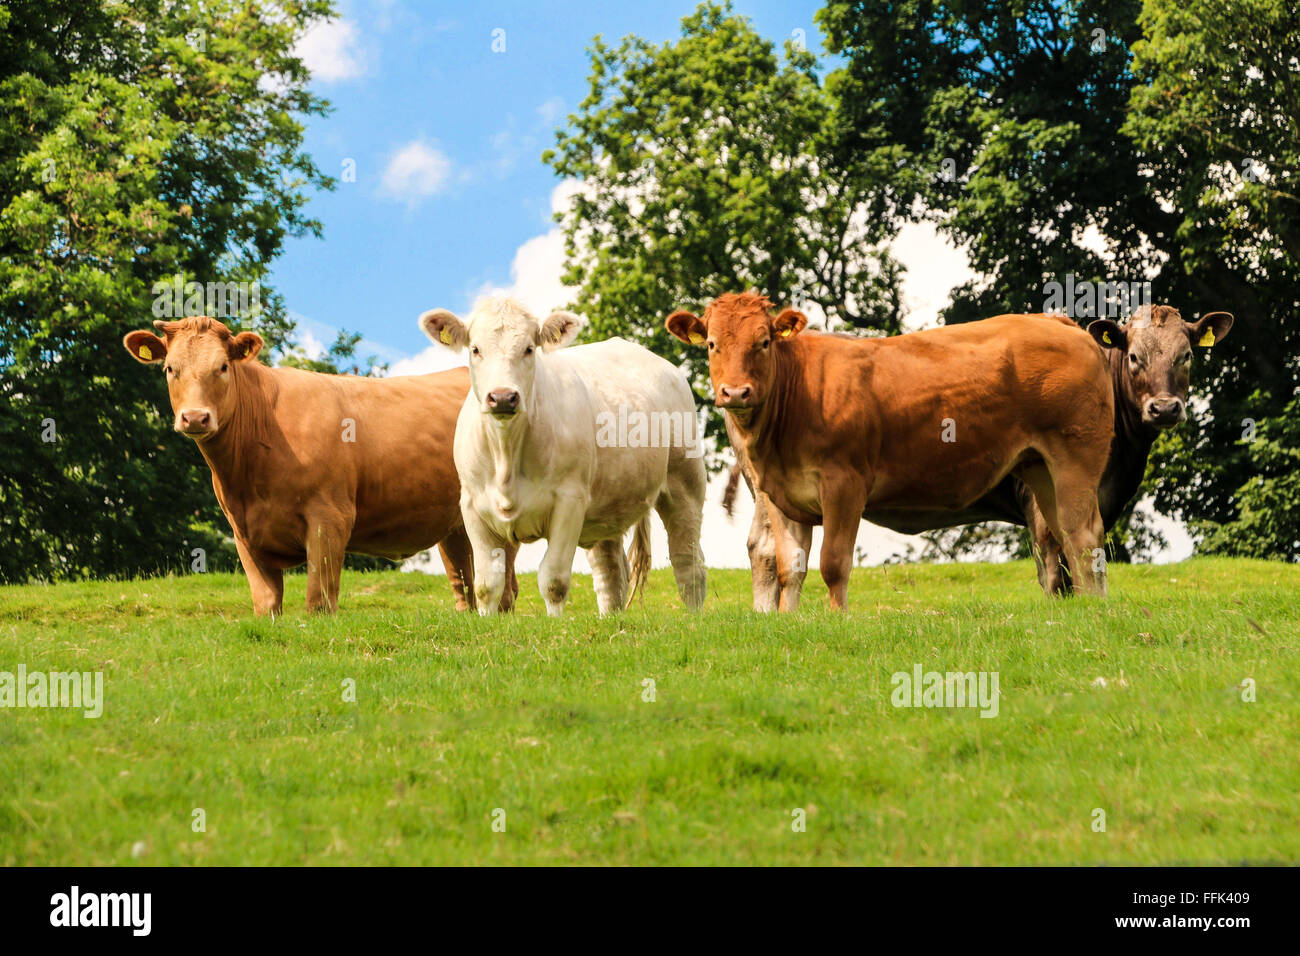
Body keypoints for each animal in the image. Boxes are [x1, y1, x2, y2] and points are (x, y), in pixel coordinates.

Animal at [123, 316, 517, 616]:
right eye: (170, 368)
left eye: (222, 367)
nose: (195, 417)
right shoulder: (243, 532)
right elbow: (266, 603)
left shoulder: (330, 517)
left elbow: (319, 600)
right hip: (456, 524)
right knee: (465, 579)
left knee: (506, 584)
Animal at [419, 297, 707, 617]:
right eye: (476, 349)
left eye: (529, 349)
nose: (503, 397)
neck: (507, 453)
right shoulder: (472, 506)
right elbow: (486, 584)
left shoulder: (570, 502)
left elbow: (553, 580)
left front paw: (555, 622)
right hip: (608, 505)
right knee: (611, 572)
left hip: (685, 481)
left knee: (688, 561)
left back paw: (694, 618)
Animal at [667, 292, 1115, 610]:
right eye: (711, 344)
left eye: (762, 342)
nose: (736, 392)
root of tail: (1055, 321)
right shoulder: (779, 494)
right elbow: (788, 566)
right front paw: (787, 619)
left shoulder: (844, 484)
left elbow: (833, 563)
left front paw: (838, 619)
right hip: (1039, 466)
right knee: (1064, 534)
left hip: (1077, 455)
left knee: (1084, 533)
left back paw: (1096, 608)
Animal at [721, 303, 1233, 605]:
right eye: (1134, 357)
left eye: (1187, 355)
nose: (1164, 408)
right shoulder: (1037, 502)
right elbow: (1055, 567)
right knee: (766, 551)